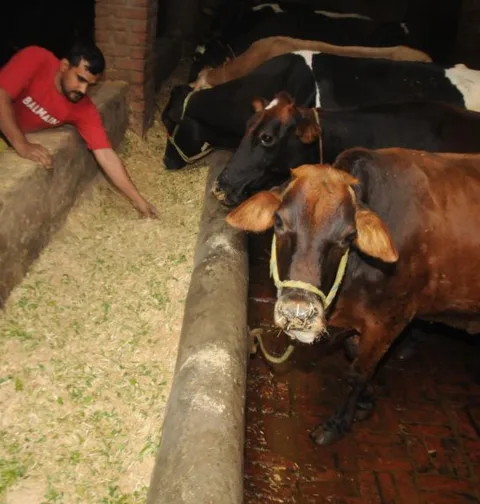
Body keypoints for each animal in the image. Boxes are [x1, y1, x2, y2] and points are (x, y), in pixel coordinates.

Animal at [225, 147, 480, 445]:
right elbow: (353, 356)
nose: (298, 312)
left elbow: (358, 372)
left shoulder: (391, 321)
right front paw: (365, 401)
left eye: (348, 236)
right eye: (278, 221)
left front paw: (337, 423)